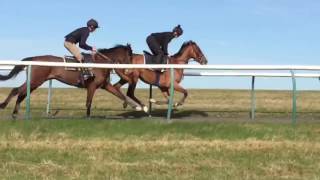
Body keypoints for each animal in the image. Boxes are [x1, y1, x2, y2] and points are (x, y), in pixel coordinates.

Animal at [0, 44, 139, 118]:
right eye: (130, 56)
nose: (130, 70)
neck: (101, 63)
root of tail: (33, 59)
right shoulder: (92, 86)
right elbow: (88, 102)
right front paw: (88, 116)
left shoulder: (105, 85)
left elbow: (120, 95)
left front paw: (138, 107)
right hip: (36, 80)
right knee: (16, 90)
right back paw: (4, 106)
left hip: (35, 82)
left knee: (22, 93)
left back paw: (15, 113)